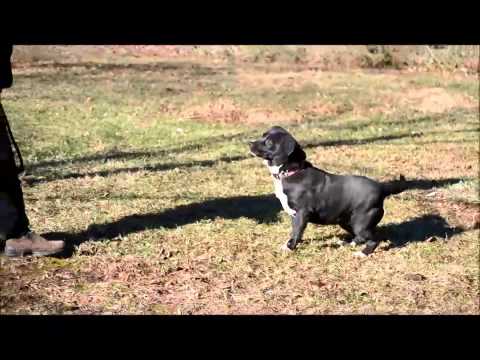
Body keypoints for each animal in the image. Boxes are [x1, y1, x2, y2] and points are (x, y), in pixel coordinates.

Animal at [249, 126, 406, 256]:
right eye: (263, 135)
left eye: (269, 142)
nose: (249, 143)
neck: (290, 172)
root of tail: (382, 187)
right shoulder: (294, 215)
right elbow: (295, 232)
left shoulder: (301, 213)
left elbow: (297, 233)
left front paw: (290, 248)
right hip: (346, 220)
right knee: (361, 237)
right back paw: (349, 244)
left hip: (361, 221)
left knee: (372, 239)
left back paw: (362, 253)